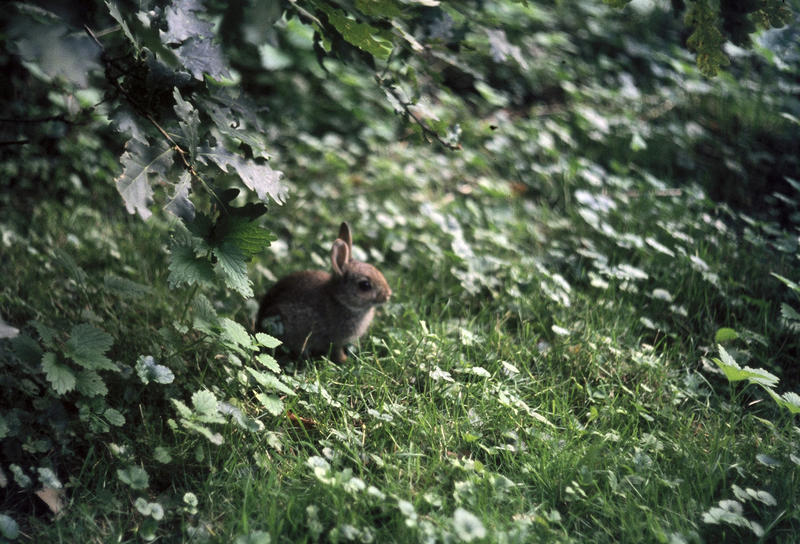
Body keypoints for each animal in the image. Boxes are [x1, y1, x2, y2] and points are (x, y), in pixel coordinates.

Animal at [258, 221, 392, 362]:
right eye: (365, 285)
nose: (388, 295)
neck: (341, 300)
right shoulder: (335, 340)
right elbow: (336, 351)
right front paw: (345, 360)